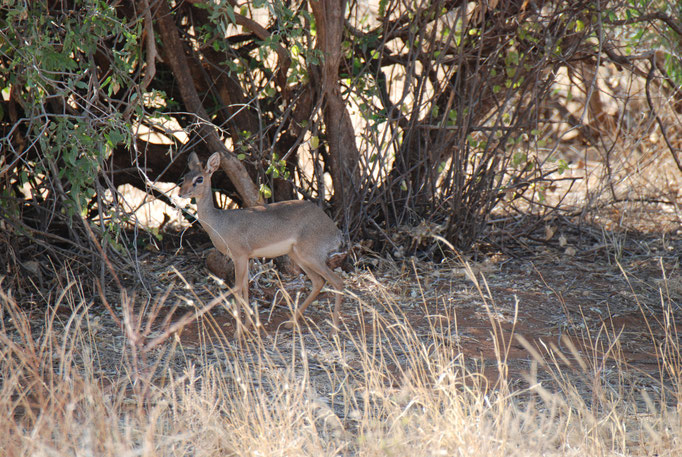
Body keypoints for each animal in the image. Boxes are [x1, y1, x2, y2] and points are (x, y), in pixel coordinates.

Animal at [178, 151, 342, 334]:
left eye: (199, 179)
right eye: (185, 177)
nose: (181, 193)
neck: (219, 222)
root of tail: (335, 231)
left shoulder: (240, 256)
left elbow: (237, 288)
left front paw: (238, 332)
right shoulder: (244, 258)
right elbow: (245, 287)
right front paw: (248, 326)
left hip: (310, 256)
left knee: (337, 282)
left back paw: (334, 330)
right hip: (298, 256)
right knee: (318, 282)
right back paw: (290, 323)